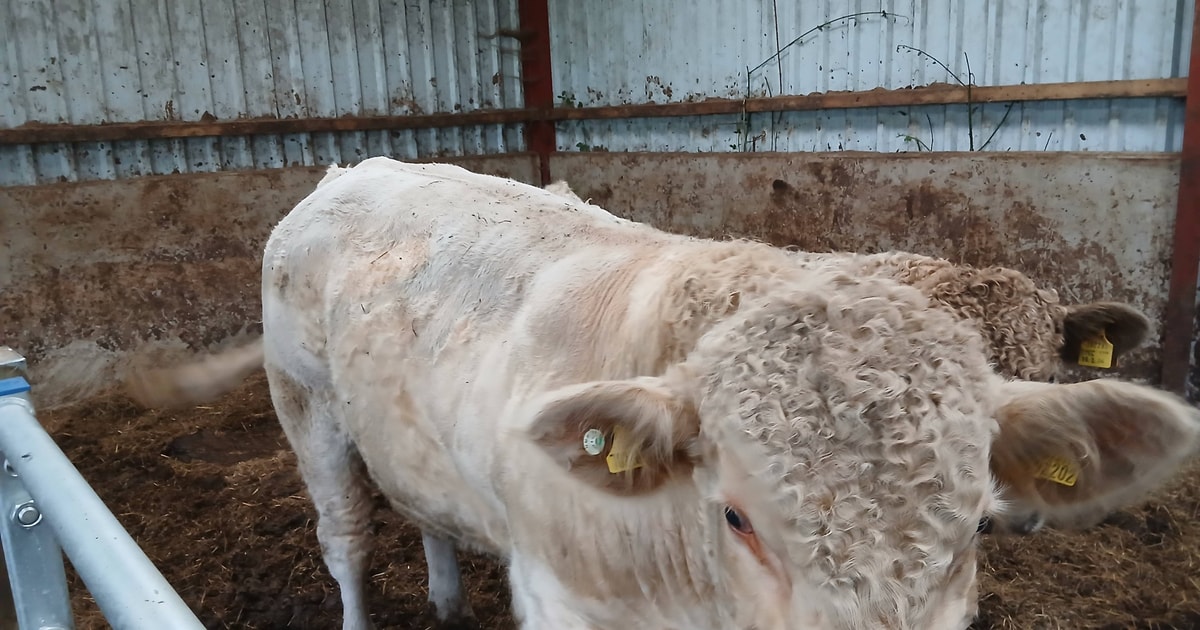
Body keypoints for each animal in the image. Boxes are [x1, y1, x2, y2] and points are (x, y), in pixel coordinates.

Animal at [127, 157, 1200, 630]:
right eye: (736, 514)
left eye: (972, 523)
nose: (1022, 520)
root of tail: (356, 166)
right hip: (304, 405)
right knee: (345, 539)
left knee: (425, 509)